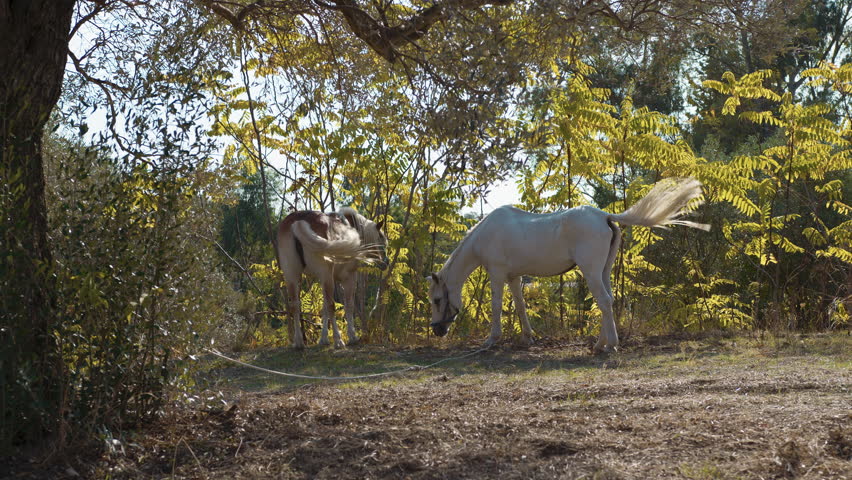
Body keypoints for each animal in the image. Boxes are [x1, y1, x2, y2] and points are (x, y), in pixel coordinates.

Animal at [277, 207, 388, 349]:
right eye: (381, 241)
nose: (386, 262)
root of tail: (298, 222)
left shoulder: (324, 280)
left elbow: (324, 308)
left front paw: (323, 339)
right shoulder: (348, 277)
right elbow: (348, 306)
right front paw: (352, 336)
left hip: (291, 275)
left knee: (295, 305)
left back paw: (298, 342)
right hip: (325, 275)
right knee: (331, 306)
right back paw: (338, 340)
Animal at [427, 178, 710, 353]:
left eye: (438, 300)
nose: (438, 330)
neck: (486, 234)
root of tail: (604, 216)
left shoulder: (496, 274)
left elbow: (496, 306)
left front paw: (491, 340)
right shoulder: (513, 277)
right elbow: (520, 305)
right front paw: (528, 337)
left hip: (591, 271)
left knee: (604, 301)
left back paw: (608, 346)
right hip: (603, 271)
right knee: (608, 301)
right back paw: (601, 344)